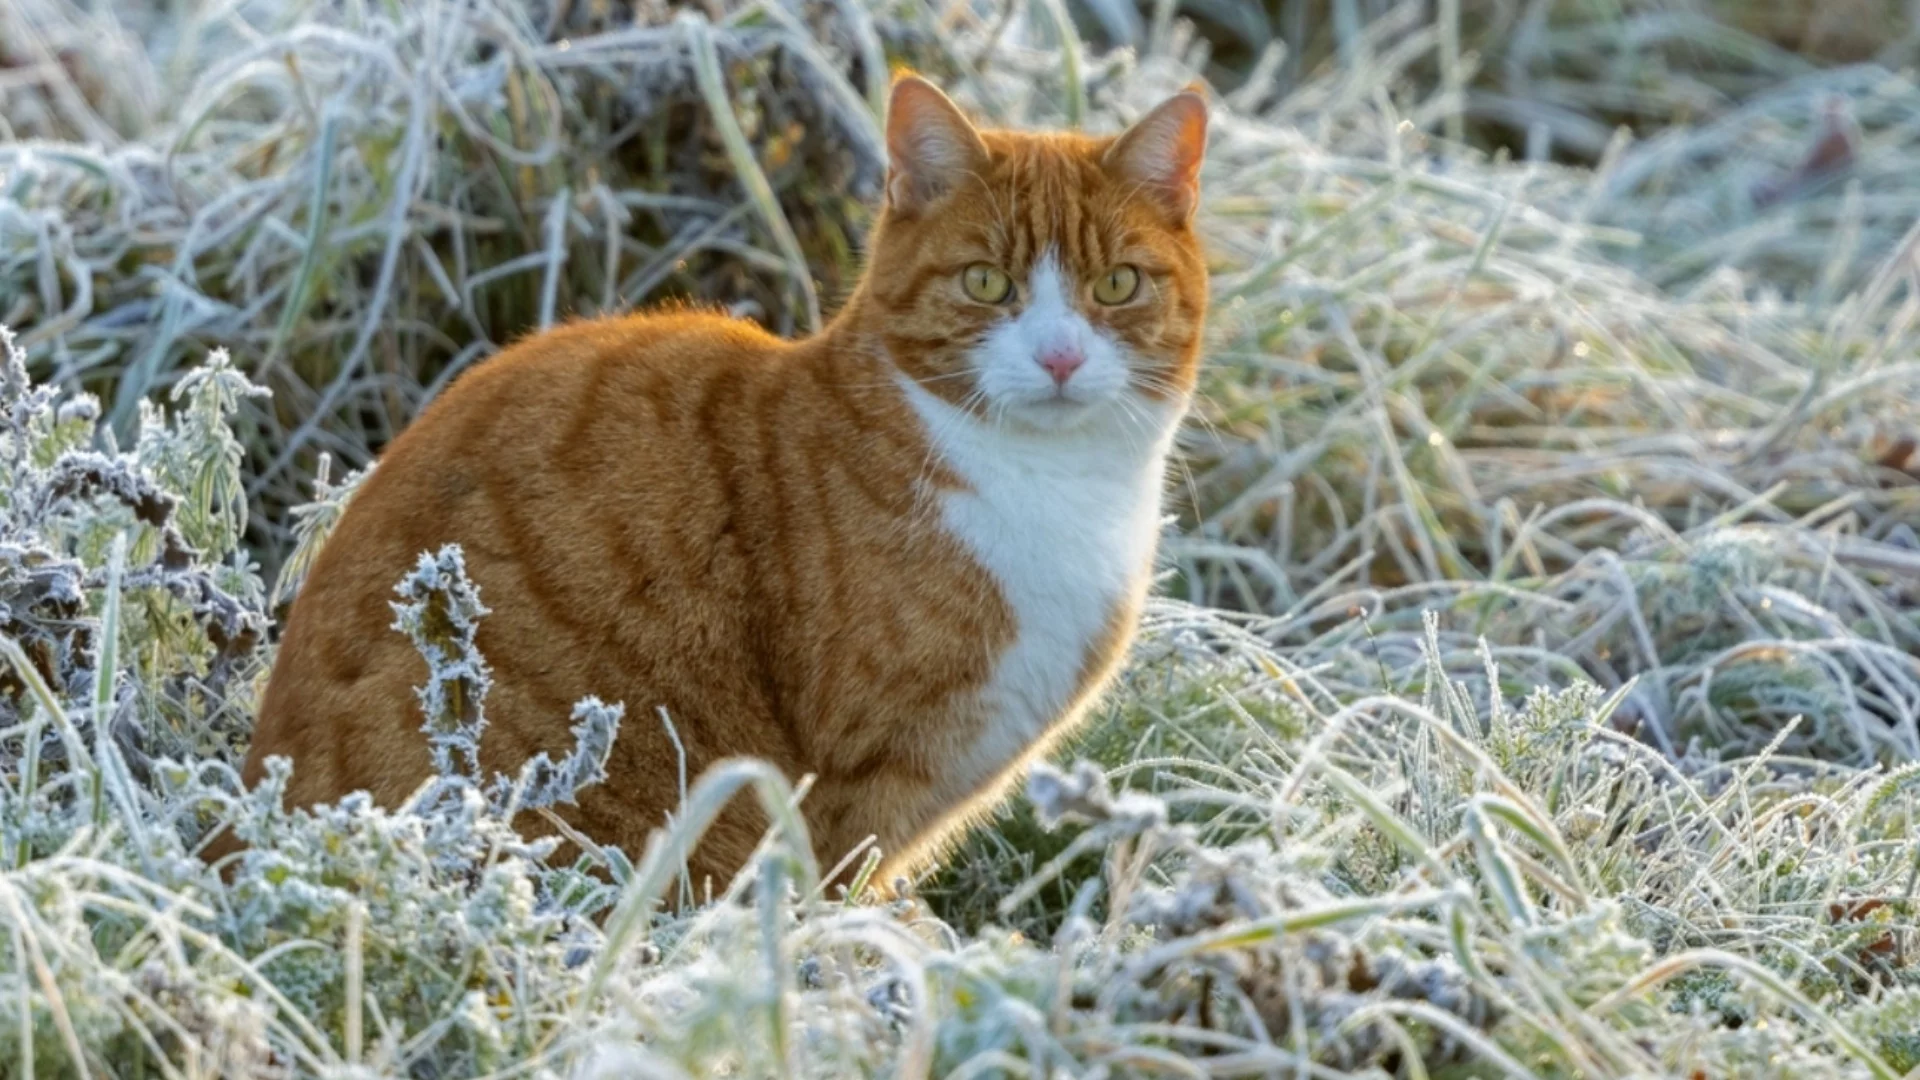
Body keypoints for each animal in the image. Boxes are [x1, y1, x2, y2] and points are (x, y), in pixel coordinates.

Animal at [232, 73, 1205, 891]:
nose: (1060, 357)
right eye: (986, 282)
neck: (1057, 490)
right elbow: (836, 892)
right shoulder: (855, 773)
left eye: (1118, 284)